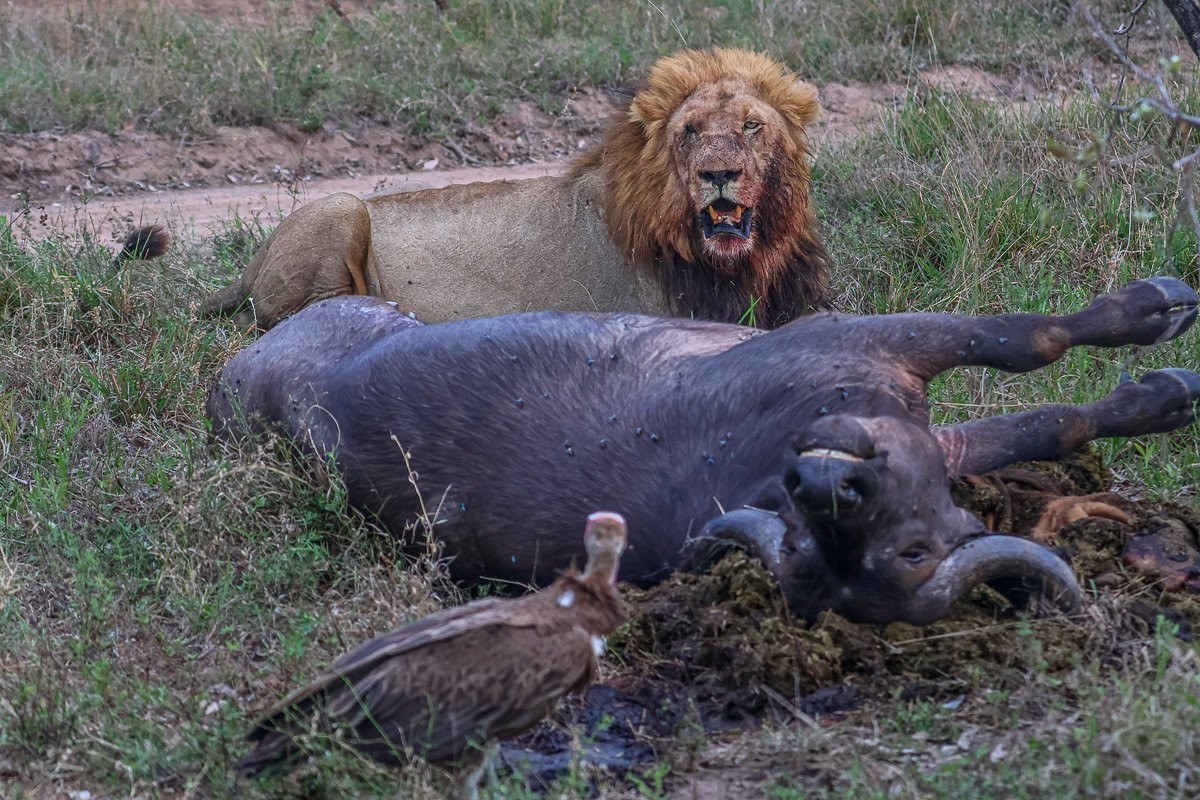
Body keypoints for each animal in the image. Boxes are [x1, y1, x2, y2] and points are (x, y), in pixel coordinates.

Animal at [201, 48, 831, 330]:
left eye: (752, 126)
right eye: (690, 130)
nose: (718, 173)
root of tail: (252, 264)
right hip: (342, 206)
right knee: (305, 311)